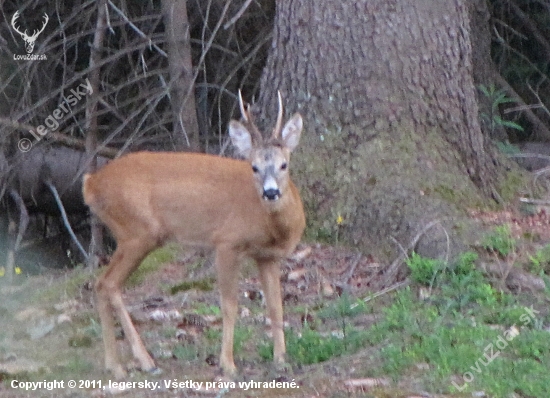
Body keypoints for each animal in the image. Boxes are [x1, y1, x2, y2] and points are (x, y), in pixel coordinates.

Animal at [83, 91, 306, 380]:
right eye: (254, 167)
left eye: (283, 164)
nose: (270, 192)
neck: (272, 227)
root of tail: (90, 183)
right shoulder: (226, 242)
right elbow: (229, 304)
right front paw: (227, 364)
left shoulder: (266, 256)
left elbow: (276, 305)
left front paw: (281, 360)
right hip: (137, 232)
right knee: (109, 284)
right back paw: (141, 362)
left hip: (132, 236)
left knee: (101, 284)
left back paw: (118, 364)